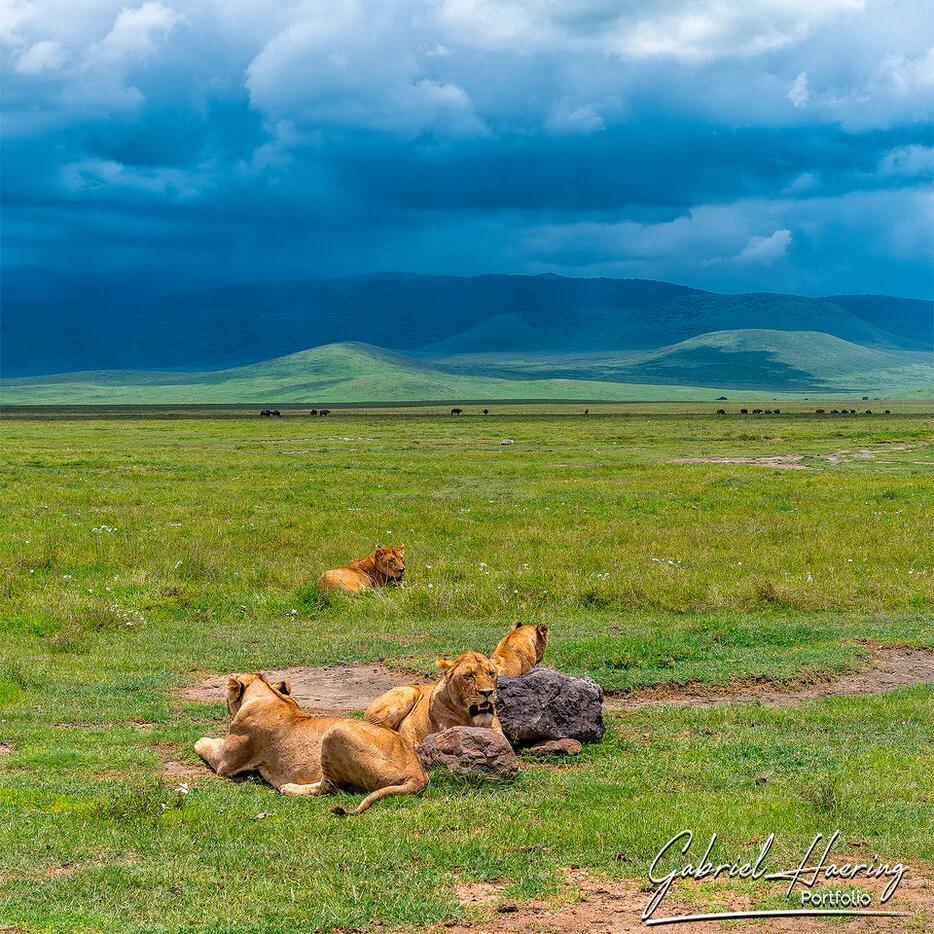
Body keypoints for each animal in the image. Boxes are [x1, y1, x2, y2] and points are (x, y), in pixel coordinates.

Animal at [194, 673, 427, 816]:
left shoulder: (225, 764)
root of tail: (418, 773)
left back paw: (288, 788)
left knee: (329, 788)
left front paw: (202, 740)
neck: (268, 693)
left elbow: (207, 747)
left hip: (335, 731)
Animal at [364, 651, 500, 745]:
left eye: (491, 673)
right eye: (468, 676)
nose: (487, 692)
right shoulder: (448, 730)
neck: (471, 719)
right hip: (409, 691)